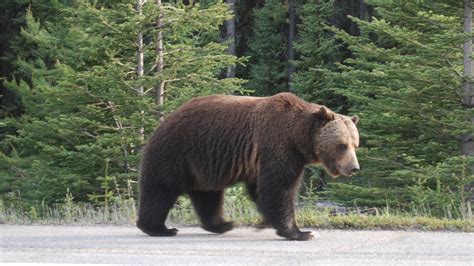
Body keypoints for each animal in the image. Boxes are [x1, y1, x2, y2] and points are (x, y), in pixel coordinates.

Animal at [137, 92, 360, 240]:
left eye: (355, 144)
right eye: (342, 145)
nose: (354, 167)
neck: (298, 137)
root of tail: (166, 119)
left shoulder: (261, 159)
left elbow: (261, 189)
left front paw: (268, 222)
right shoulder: (278, 145)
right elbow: (279, 187)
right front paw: (301, 232)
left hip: (204, 164)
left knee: (208, 194)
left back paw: (223, 224)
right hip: (177, 151)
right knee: (161, 189)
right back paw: (159, 228)